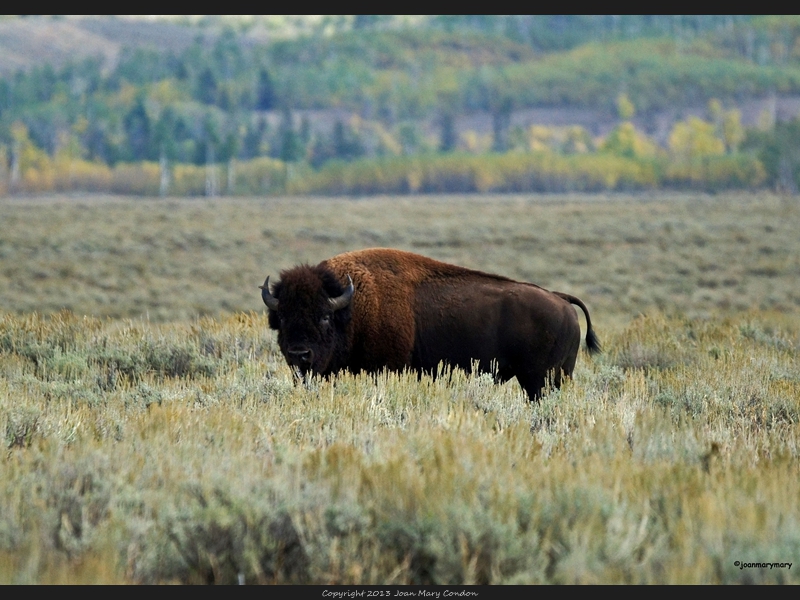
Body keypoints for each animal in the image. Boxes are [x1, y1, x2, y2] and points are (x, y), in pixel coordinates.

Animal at [262, 246, 600, 400]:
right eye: (282, 318)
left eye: (323, 316)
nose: (299, 354)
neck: (353, 306)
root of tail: (561, 300)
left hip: (542, 379)